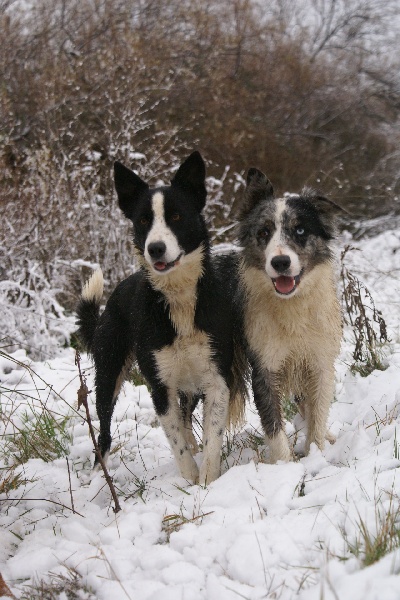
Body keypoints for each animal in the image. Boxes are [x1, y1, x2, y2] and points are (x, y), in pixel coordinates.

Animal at [76, 152, 245, 486]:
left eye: (176, 216)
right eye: (143, 220)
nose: (155, 248)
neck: (178, 298)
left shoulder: (217, 379)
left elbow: (212, 437)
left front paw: (207, 481)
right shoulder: (160, 385)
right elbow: (176, 441)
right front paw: (190, 481)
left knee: (186, 414)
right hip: (109, 371)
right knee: (103, 430)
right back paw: (97, 475)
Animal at [238, 169, 344, 464]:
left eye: (300, 230)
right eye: (263, 232)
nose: (280, 262)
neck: (292, 306)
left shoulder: (320, 363)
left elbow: (317, 415)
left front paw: (317, 454)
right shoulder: (264, 368)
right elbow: (274, 428)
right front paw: (285, 466)